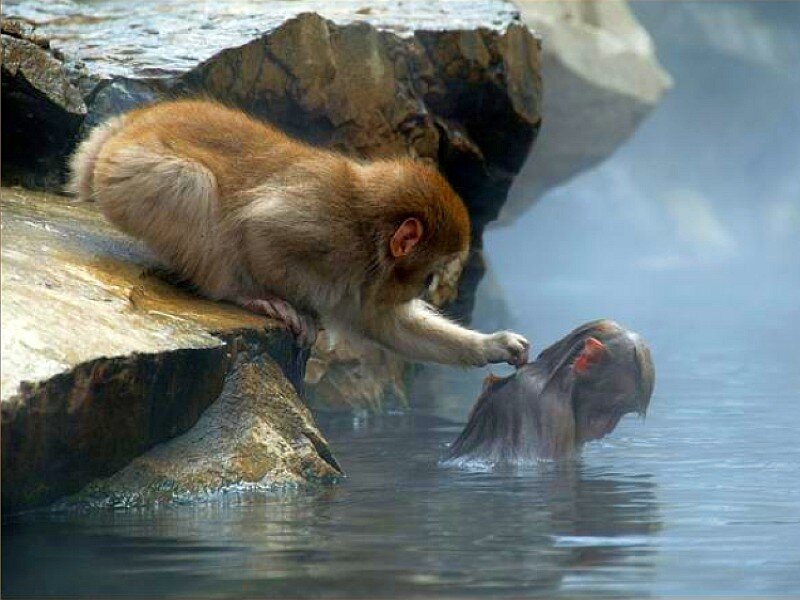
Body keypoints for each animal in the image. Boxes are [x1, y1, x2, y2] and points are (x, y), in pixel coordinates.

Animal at [70, 99, 529, 366]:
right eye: (431, 274)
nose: (424, 290)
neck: (366, 233)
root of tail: (123, 130)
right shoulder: (323, 227)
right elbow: (260, 230)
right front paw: (296, 304)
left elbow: (382, 322)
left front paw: (492, 345)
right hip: (127, 178)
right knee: (190, 183)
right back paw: (236, 291)